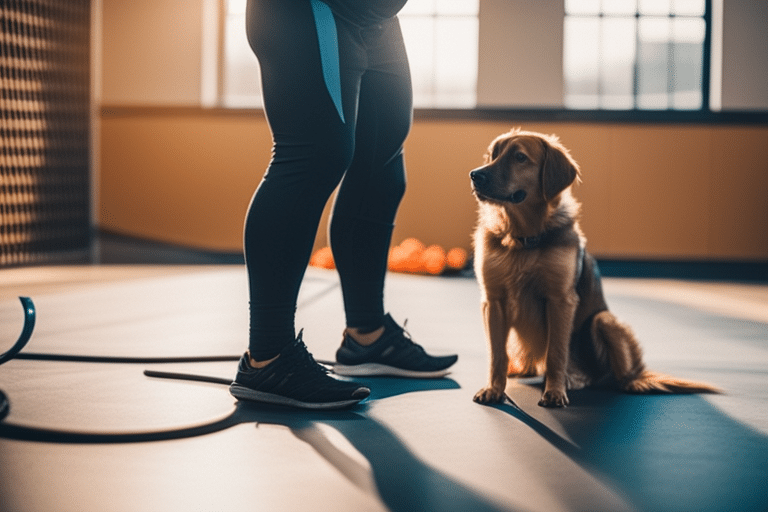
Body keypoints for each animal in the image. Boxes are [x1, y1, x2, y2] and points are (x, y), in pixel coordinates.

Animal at [472, 129, 716, 408]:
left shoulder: (561, 300)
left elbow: (556, 353)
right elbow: (497, 354)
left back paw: (604, 381)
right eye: (493, 155)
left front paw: (554, 391)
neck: (522, 239)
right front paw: (494, 388)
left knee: (619, 376)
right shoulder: (494, 301)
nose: (475, 175)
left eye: (520, 157)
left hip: (604, 321)